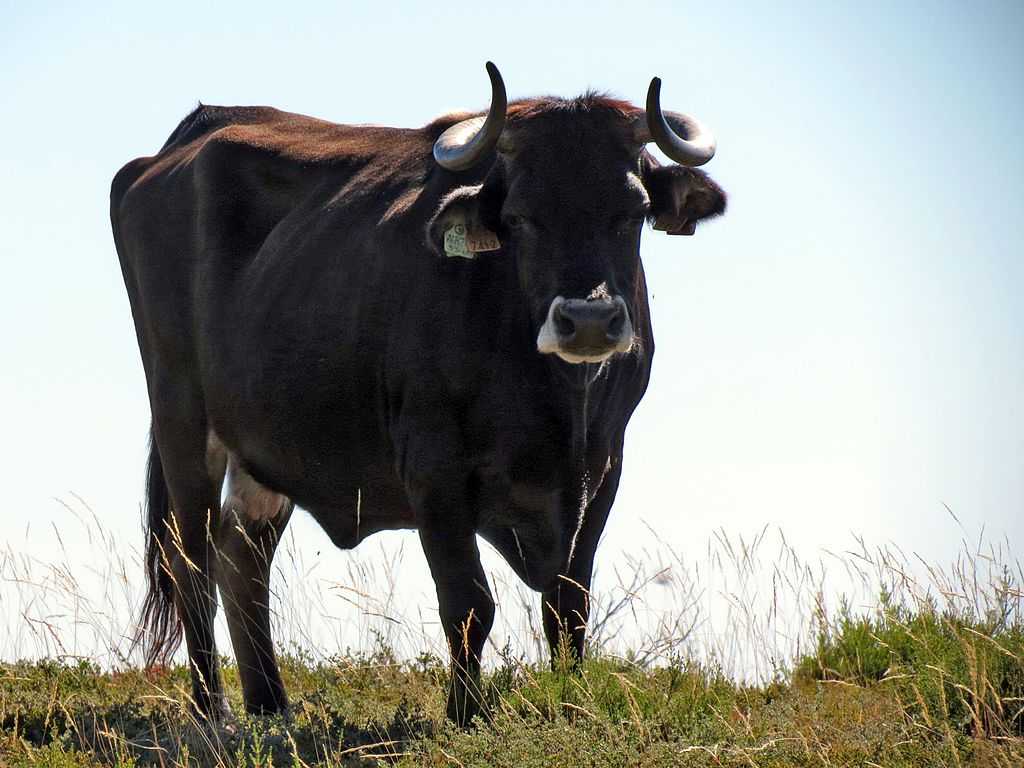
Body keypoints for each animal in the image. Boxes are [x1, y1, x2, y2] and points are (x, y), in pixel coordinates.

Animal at [112, 63, 729, 724]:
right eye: (520, 216)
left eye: (632, 212)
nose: (587, 321)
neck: (558, 403)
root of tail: (183, 143)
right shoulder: (434, 468)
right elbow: (468, 602)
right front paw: (466, 713)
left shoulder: (604, 465)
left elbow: (570, 604)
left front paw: (571, 704)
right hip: (180, 418)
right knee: (190, 562)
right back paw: (212, 707)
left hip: (262, 443)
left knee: (241, 556)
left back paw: (270, 702)